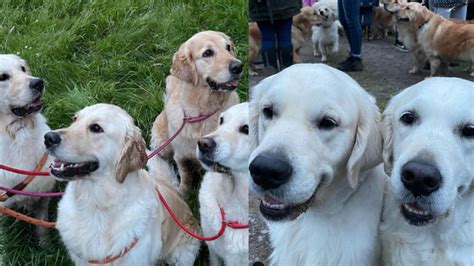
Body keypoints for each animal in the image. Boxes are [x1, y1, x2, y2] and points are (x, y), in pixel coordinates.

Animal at [0, 53, 55, 239]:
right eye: (2, 77)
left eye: (22, 69)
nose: (39, 83)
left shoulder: (44, 191)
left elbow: (42, 224)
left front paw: (45, 243)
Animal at [151, 30, 243, 195]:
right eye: (208, 53)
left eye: (228, 47)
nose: (238, 66)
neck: (202, 113)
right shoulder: (181, 156)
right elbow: (185, 178)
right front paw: (183, 194)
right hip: (162, 144)